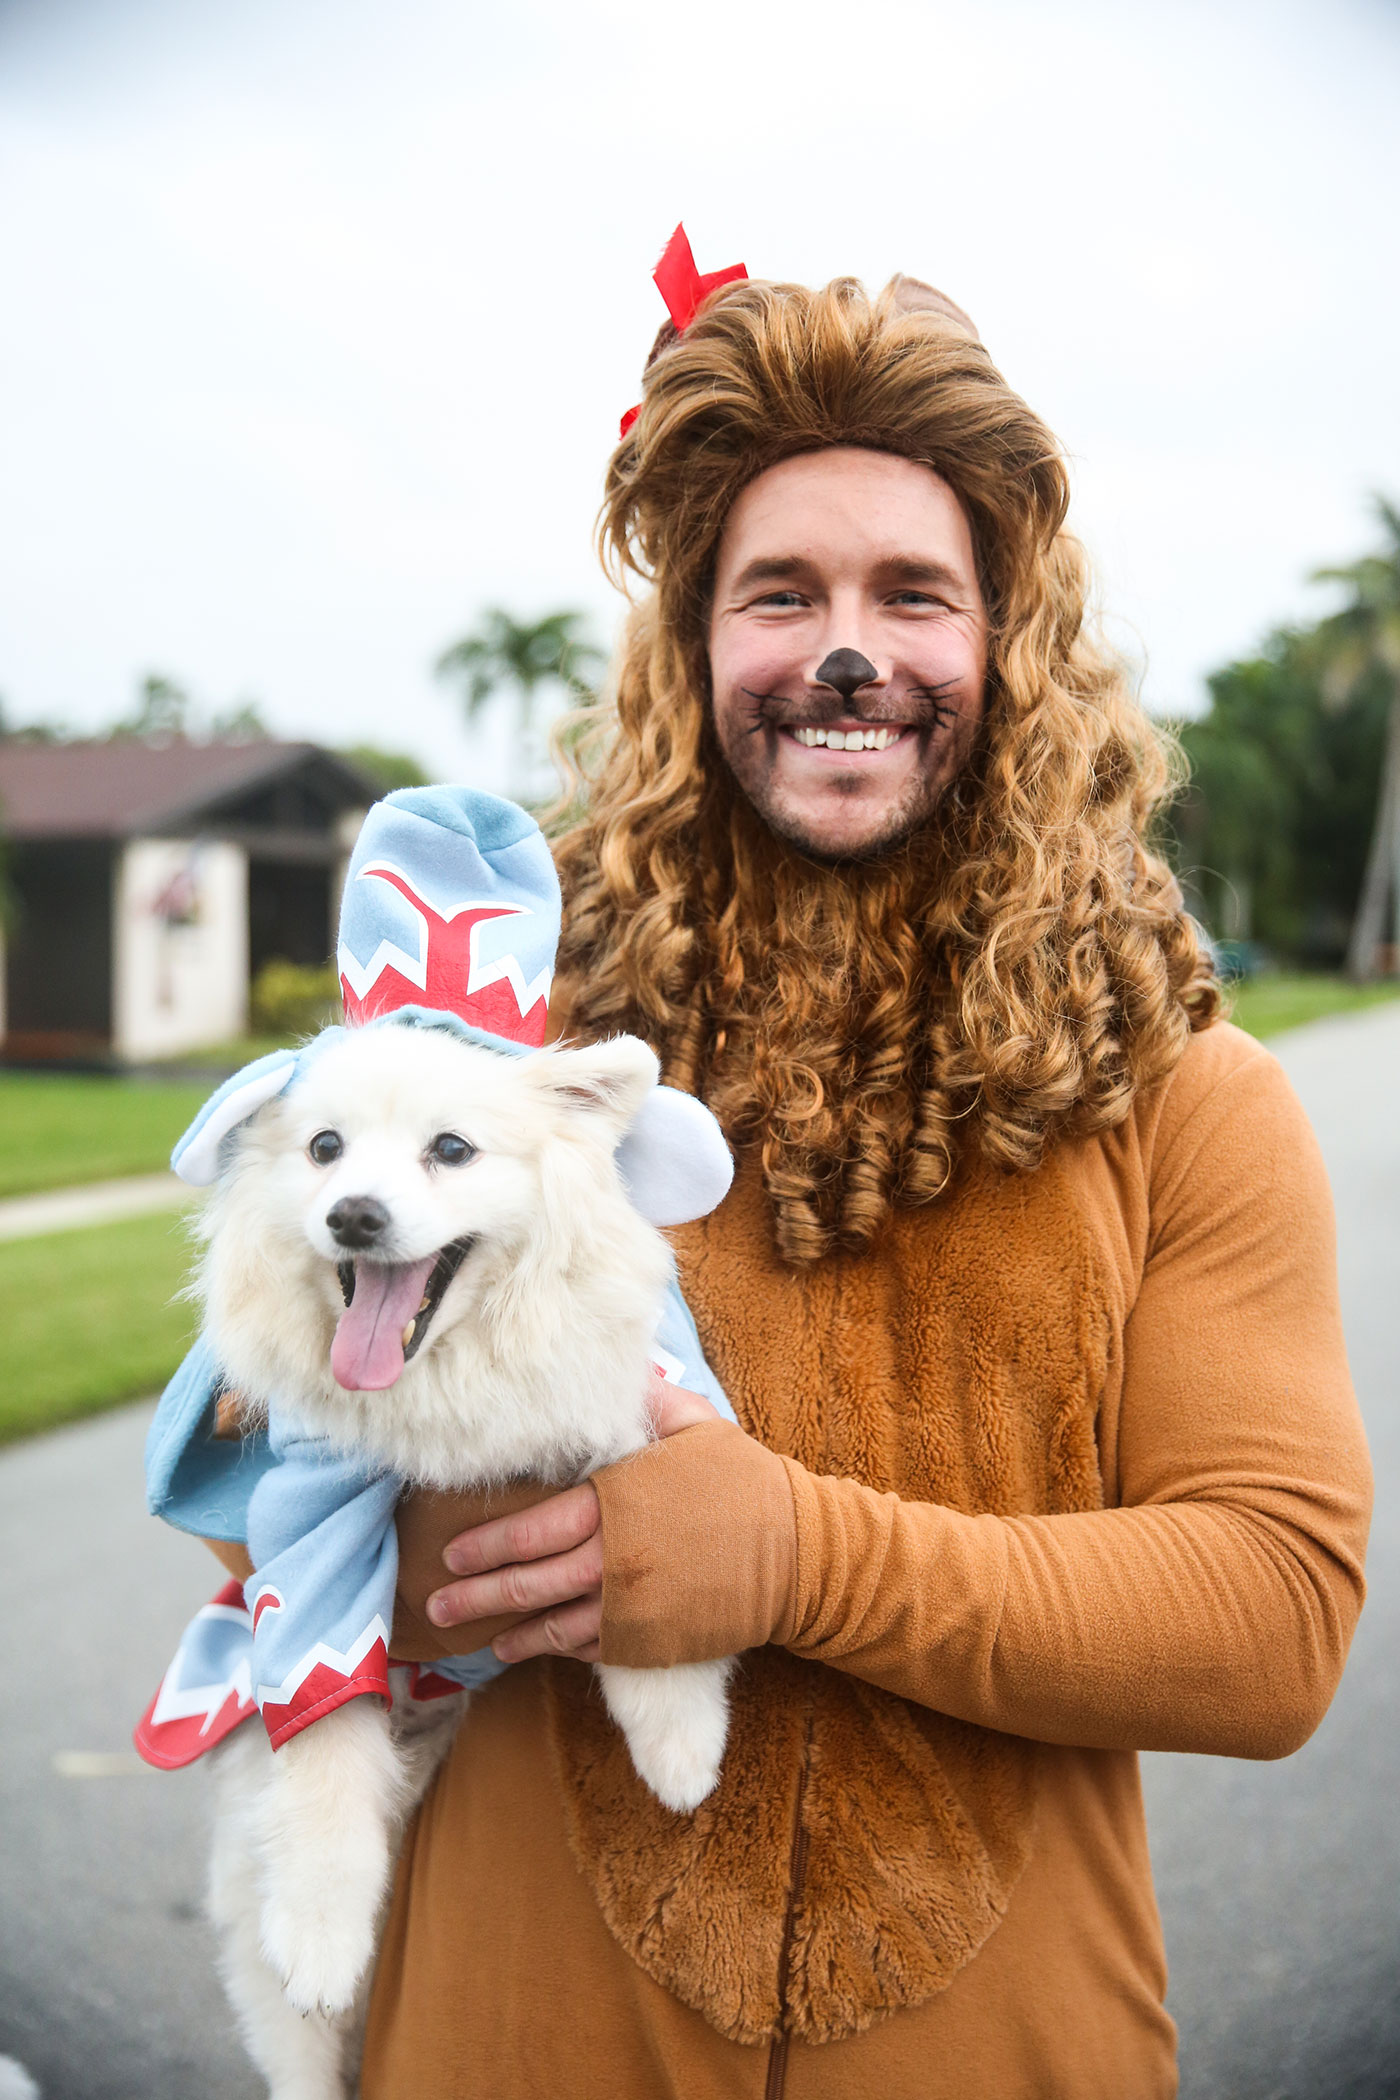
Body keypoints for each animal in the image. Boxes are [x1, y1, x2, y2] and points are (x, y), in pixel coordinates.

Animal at [202, 1012, 738, 2083]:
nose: (354, 1215)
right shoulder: (312, 1519)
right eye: (324, 1148)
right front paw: (321, 1933)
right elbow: (325, 1729)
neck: (444, 1389)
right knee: (291, 2043)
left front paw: (679, 1745)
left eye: (450, 1150)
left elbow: (656, 1553)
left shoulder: (633, 1409)